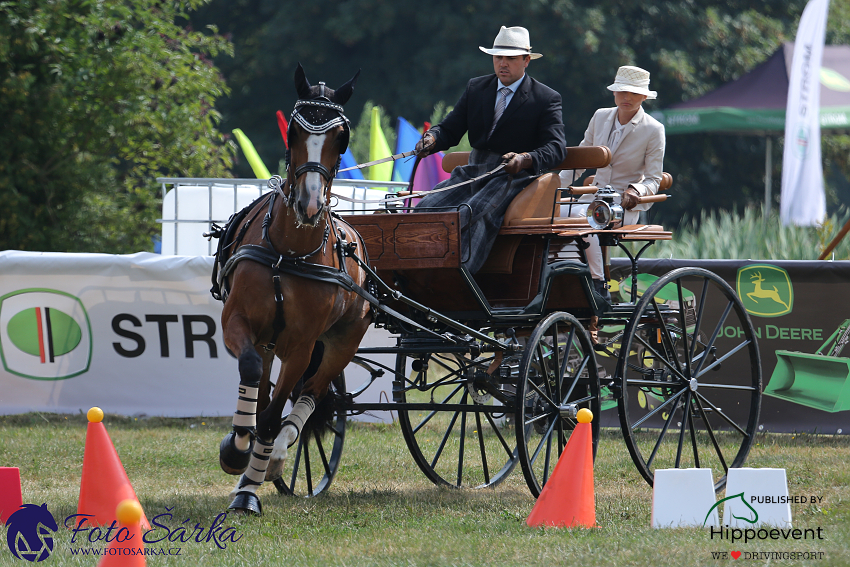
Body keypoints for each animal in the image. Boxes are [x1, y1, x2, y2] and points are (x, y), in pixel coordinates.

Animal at [212, 65, 368, 516]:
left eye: (341, 136)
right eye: (295, 131)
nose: (310, 204)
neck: (289, 253)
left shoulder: (301, 345)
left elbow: (273, 416)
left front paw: (249, 488)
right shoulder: (238, 322)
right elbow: (251, 379)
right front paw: (235, 450)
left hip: (342, 343)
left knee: (312, 397)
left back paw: (277, 457)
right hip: (269, 342)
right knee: (264, 386)